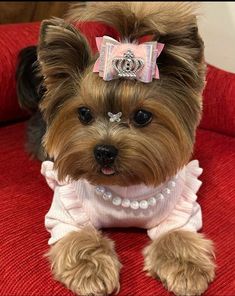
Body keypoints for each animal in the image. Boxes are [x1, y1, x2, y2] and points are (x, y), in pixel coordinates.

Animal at [16, 2, 216, 296]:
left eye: (142, 116)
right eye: (84, 113)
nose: (104, 151)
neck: (126, 189)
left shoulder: (178, 209)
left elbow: (177, 233)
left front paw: (186, 268)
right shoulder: (67, 212)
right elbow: (78, 235)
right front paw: (91, 271)